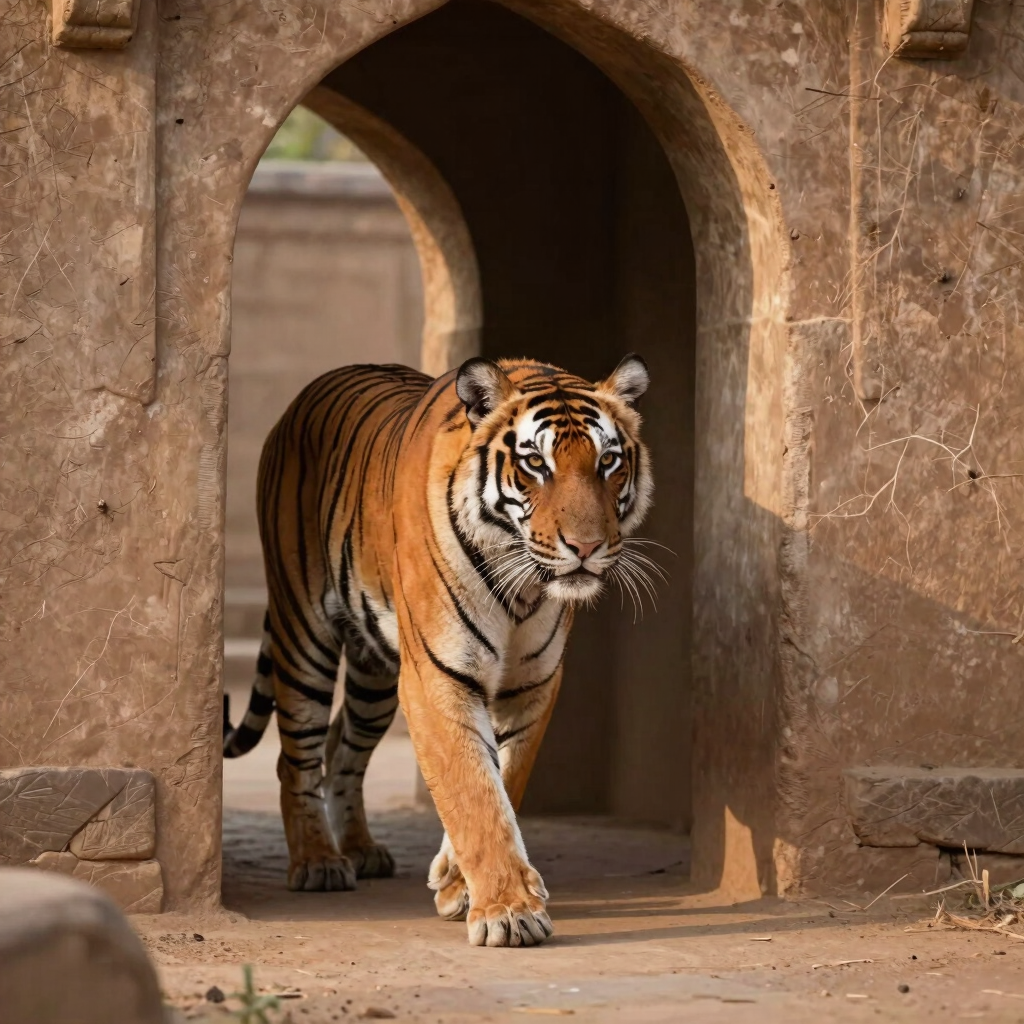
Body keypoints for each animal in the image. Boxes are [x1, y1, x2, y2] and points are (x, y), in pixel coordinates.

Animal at [223, 355, 652, 947]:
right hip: (304, 640)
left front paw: (457, 883)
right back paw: (318, 862)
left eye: (608, 461)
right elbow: (471, 789)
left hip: (375, 678)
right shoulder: (436, 676)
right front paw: (507, 913)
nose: (586, 548)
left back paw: (360, 849)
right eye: (535, 464)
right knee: (297, 759)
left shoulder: (533, 685)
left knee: (342, 749)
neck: (523, 589)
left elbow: (503, 781)